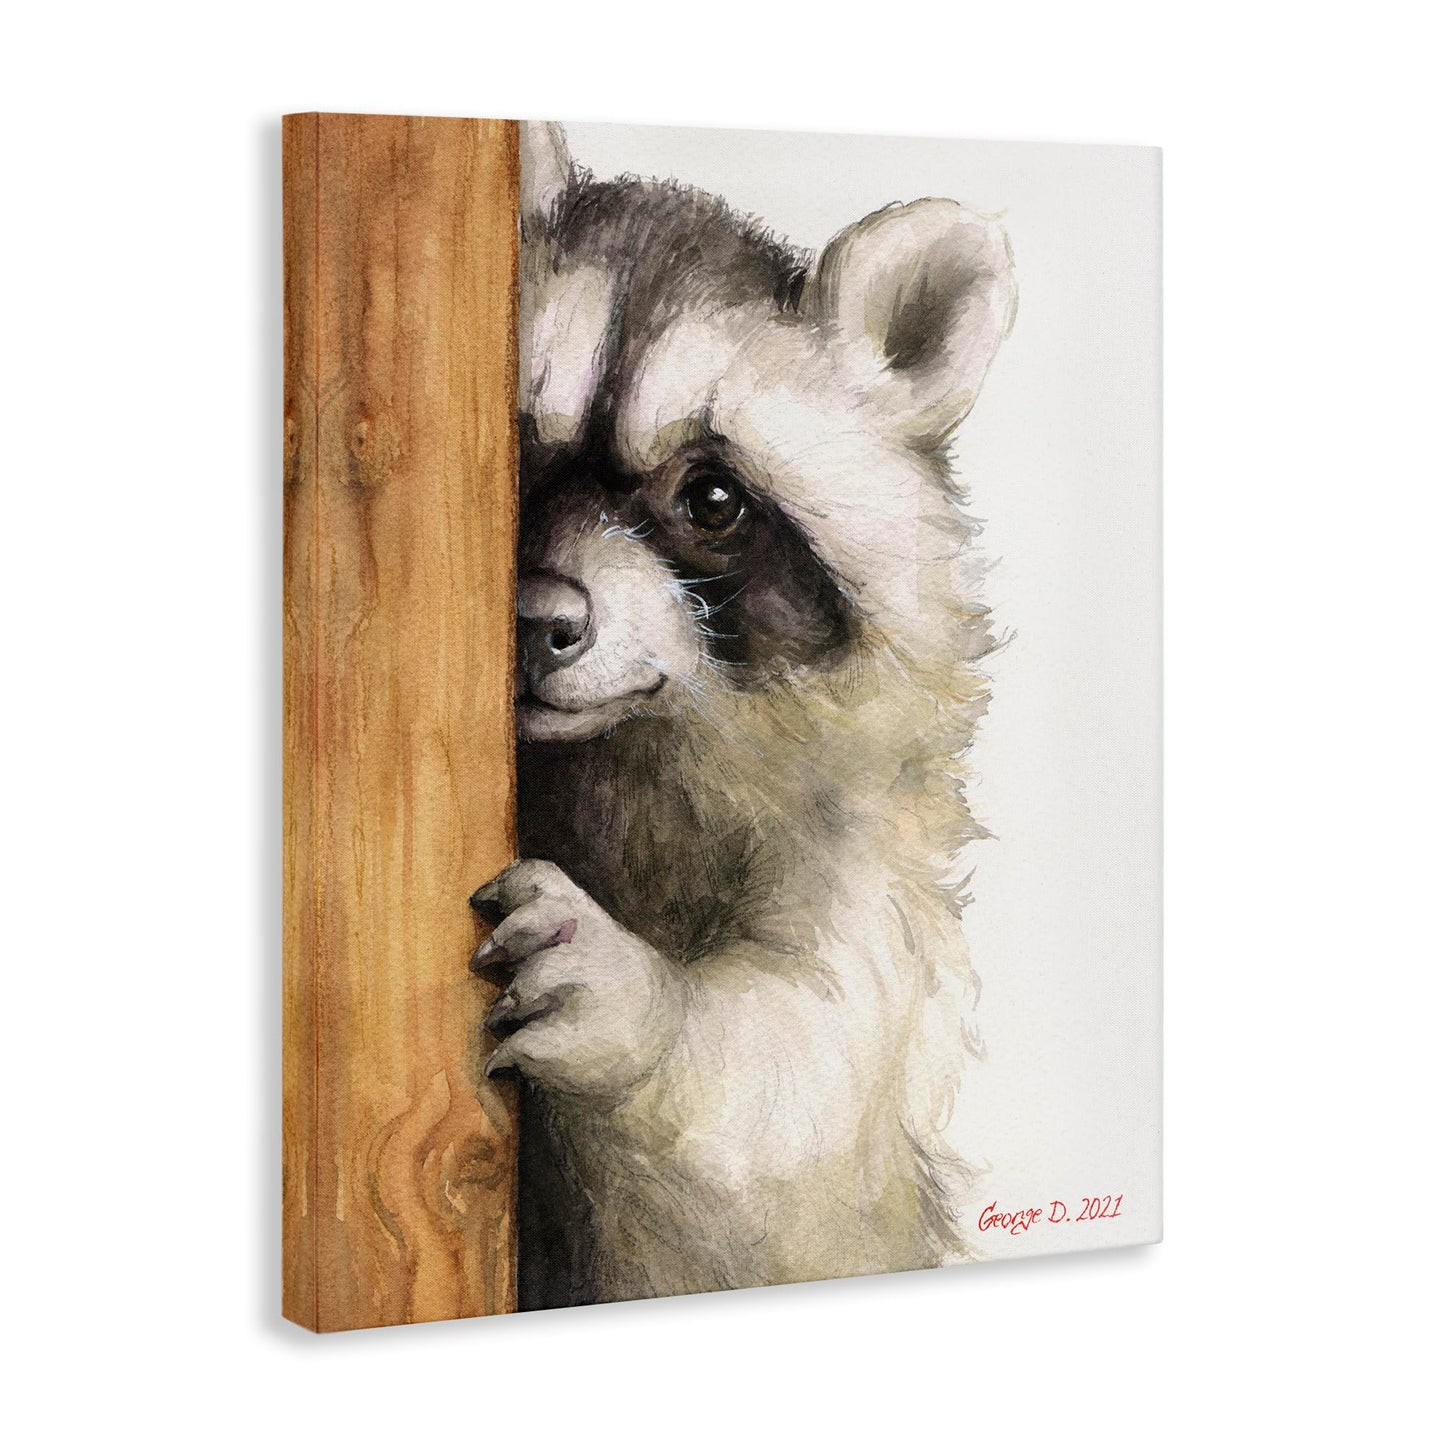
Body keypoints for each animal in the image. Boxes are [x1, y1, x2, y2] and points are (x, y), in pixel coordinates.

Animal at [469, 122, 1016, 1308]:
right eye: (508, 452)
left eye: (711, 499)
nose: (537, 624)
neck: (615, 756)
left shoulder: (867, 859)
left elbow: (798, 1090)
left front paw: (639, 1010)